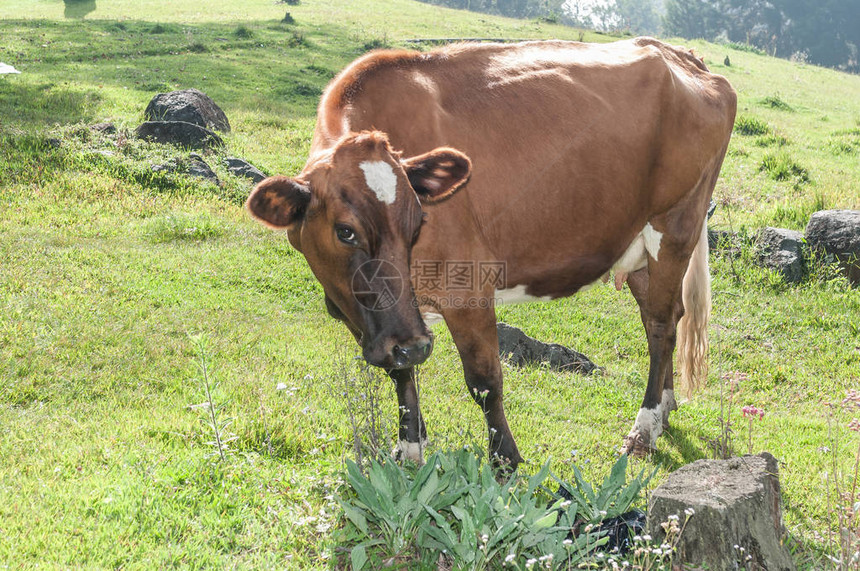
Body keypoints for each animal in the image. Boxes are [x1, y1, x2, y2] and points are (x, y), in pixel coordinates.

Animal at [245, 39, 736, 470]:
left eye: (418, 223)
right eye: (344, 231)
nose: (415, 344)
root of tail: (681, 54)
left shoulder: (467, 289)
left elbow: (485, 382)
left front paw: (506, 460)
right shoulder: (375, 316)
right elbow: (401, 374)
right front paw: (410, 450)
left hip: (675, 225)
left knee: (661, 326)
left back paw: (645, 426)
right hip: (638, 246)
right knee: (664, 316)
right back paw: (666, 407)